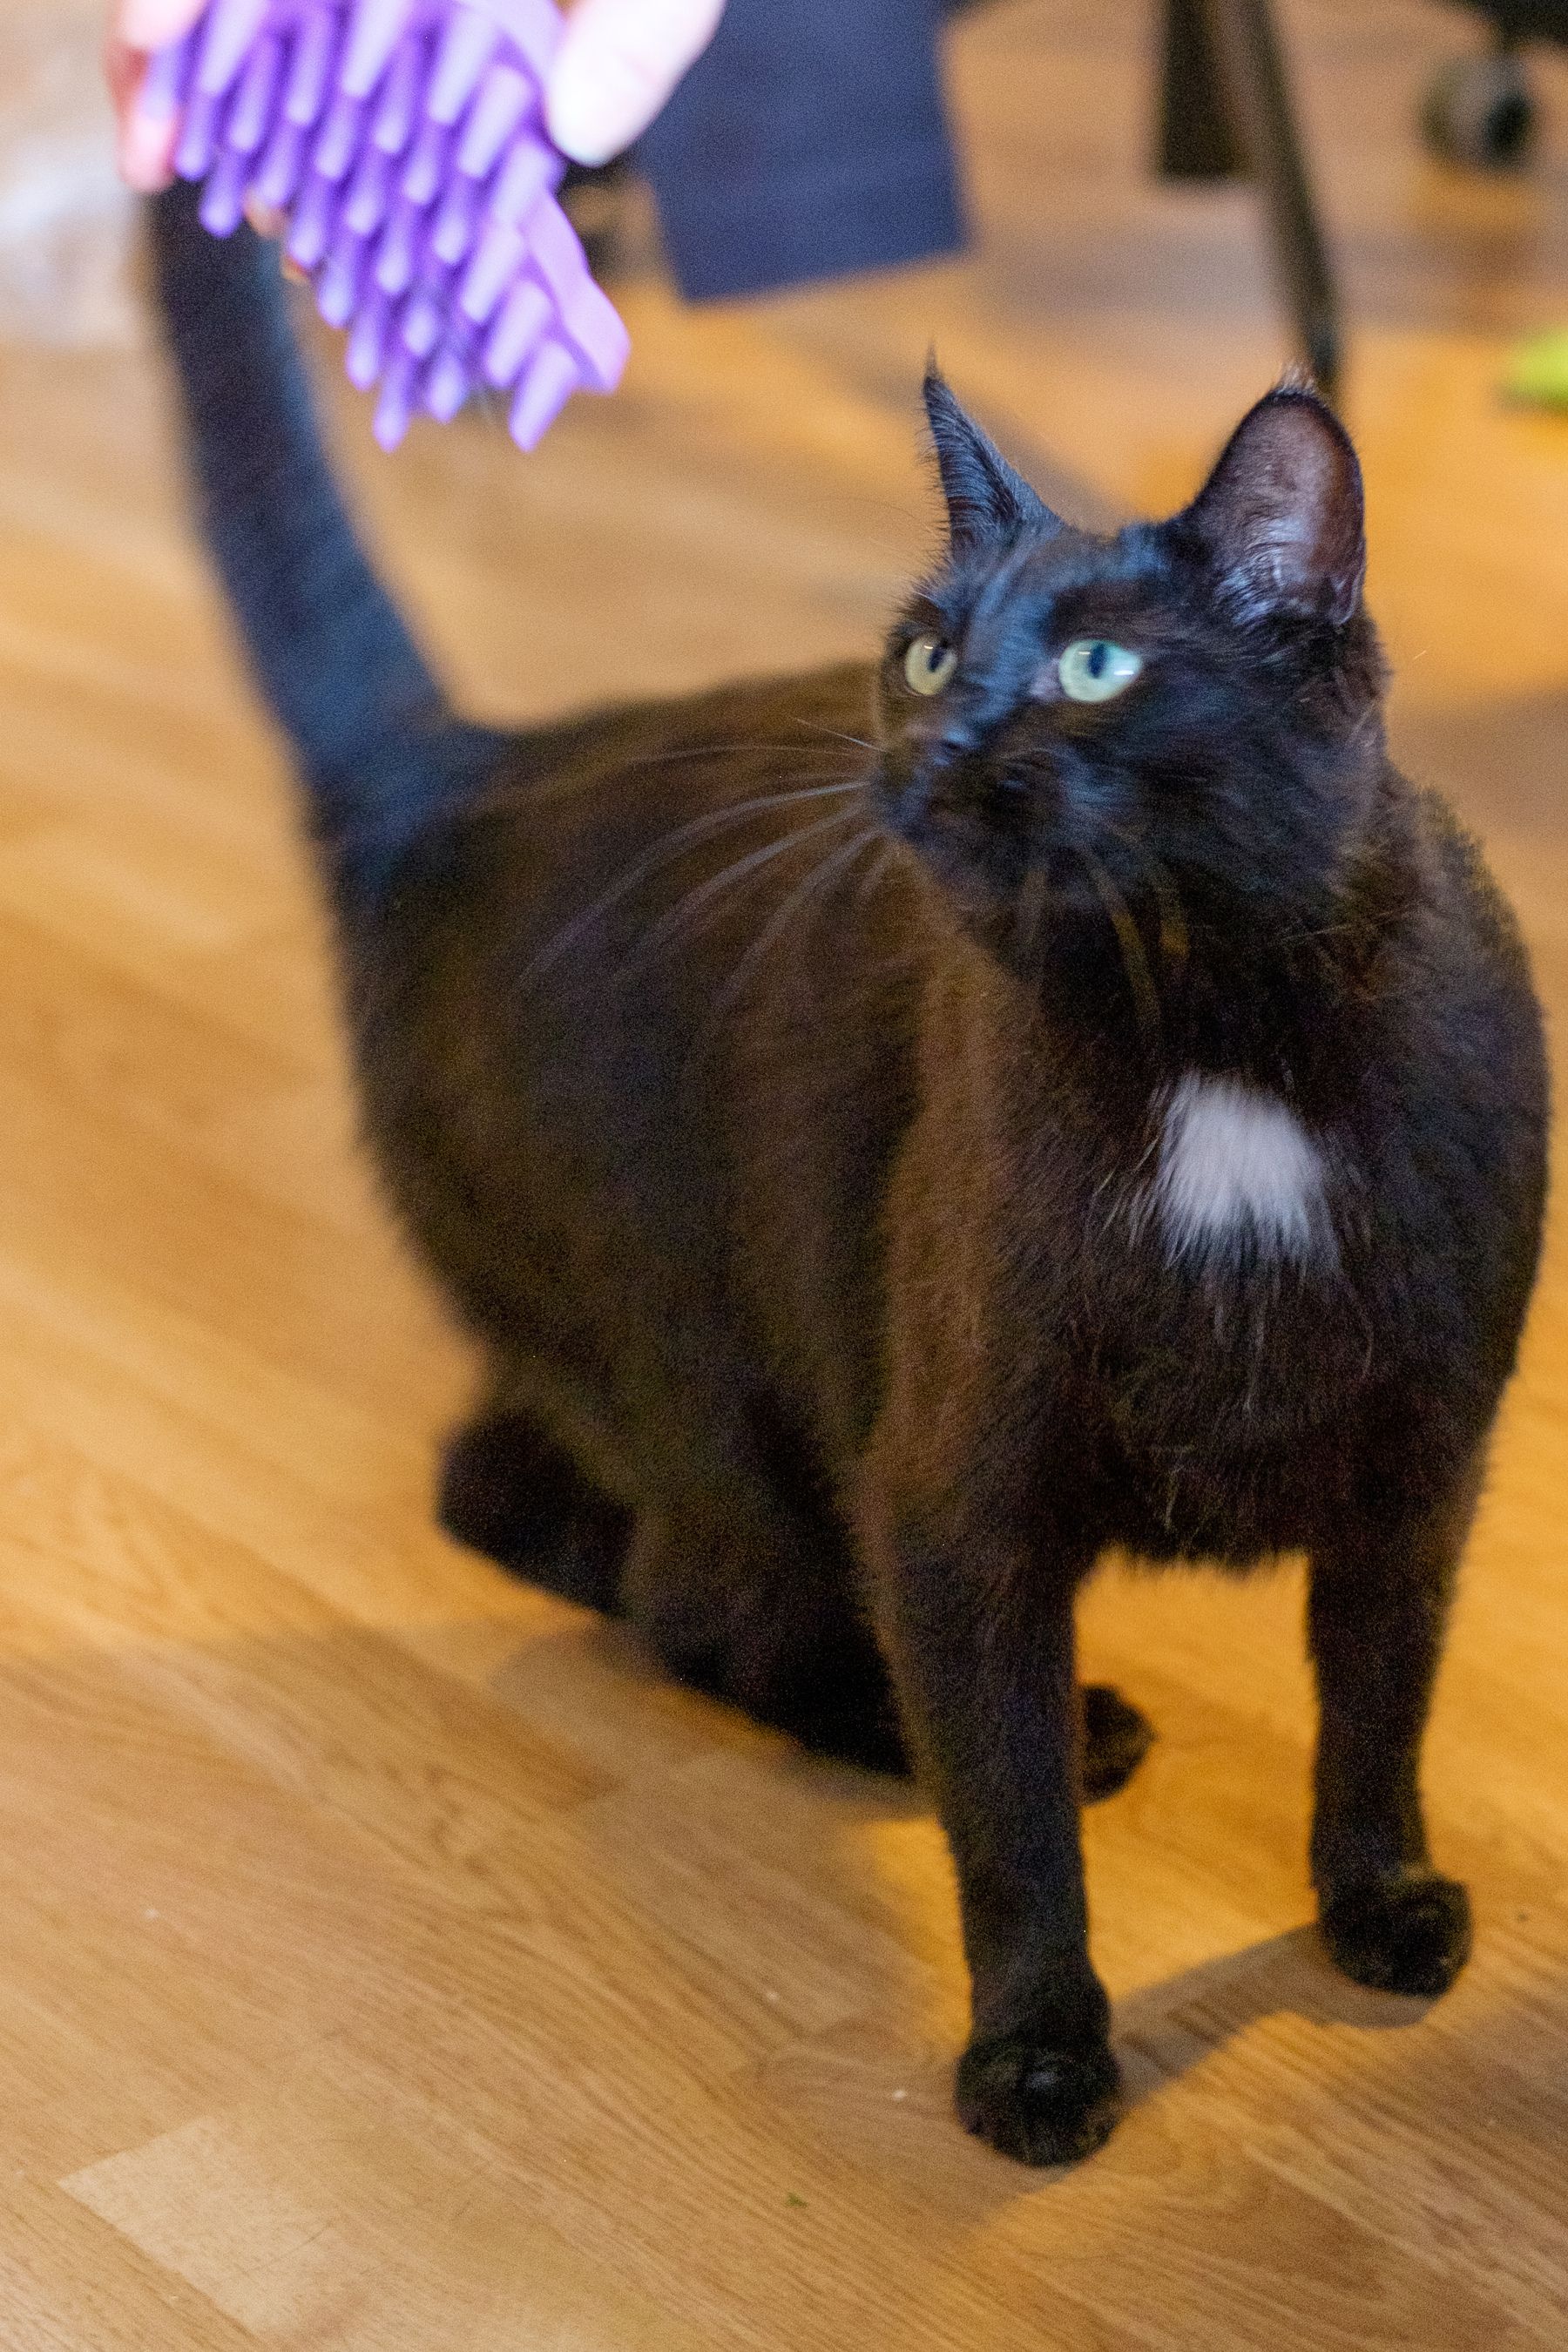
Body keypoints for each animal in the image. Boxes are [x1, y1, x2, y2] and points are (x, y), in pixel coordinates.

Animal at [146, 188, 1542, 2164]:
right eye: (932, 654)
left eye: (1101, 666)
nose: (937, 749)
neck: (1204, 1038)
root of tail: (478, 772)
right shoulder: (950, 1488)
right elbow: (1009, 1821)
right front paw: (1036, 2056)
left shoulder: (1424, 1457)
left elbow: (1381, 1703)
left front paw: (1378, 1902)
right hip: (725, 1373)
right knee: (712, 1605)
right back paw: (939, 1714)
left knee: (502, 1485)